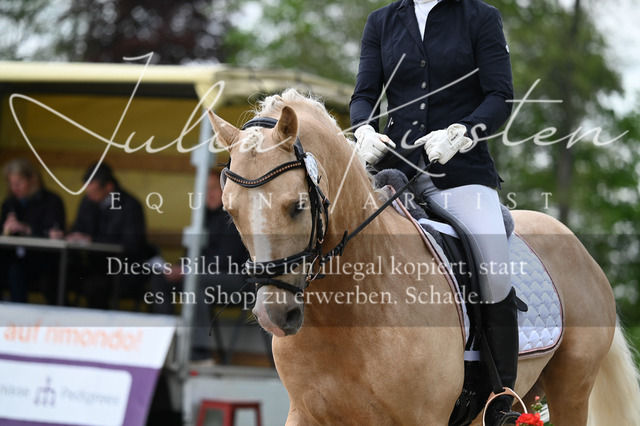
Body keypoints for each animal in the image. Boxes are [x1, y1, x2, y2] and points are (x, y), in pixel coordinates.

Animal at [207, 89, 640, 425]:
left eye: (296, 206)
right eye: (231, 211)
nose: (274, 316)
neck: (351, 307)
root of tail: (578, 246)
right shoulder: (307, 414)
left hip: (572, 388)